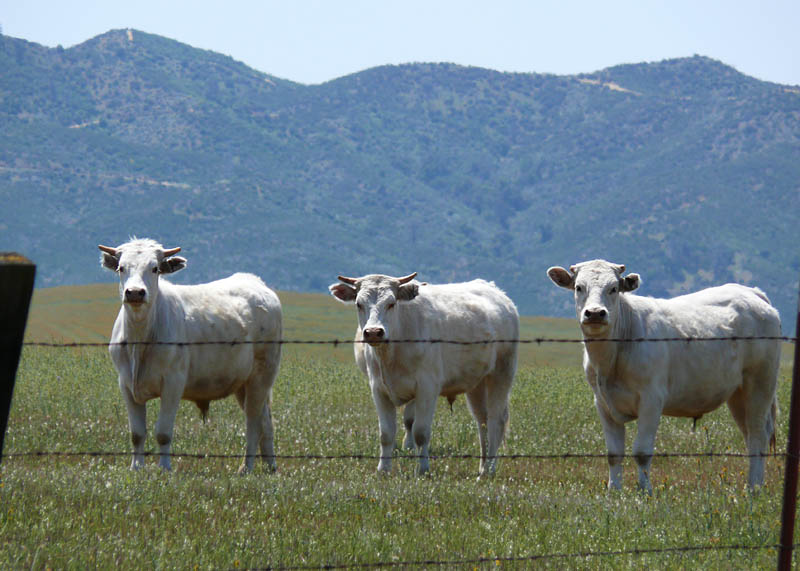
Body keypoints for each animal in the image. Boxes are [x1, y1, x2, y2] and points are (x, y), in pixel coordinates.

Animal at [99, 238, 282, 474]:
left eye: (155, 268)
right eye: (121, 268)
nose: (135, 292)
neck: (140, 341)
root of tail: (256, 282)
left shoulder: (173, 383)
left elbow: (163, 432)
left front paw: (164, 469)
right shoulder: (126, 384)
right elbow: (137, 434)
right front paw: (136, 468)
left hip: (262, 375)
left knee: (253, 422)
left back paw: (246, 468)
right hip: (243, 383)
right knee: (265, 422)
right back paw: (270, 468)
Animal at [330, 274, 520, 476]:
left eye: (391, 303)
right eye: (359, 304)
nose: (374, 332)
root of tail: (500, 295)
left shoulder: (427, 388)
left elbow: (420, 432)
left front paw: (422, 469)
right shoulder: (379, 389)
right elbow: (386, 434)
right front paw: (383, 470)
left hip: (501, 373)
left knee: (496, 421)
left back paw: (488, 470)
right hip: (477, 383)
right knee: (482, 422)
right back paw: (482, 467)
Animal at [548, 260, 780, 492]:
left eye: (613, 288)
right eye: (579, 287)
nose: (595, 313)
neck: (610, 360)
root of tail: (752, 293)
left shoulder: (652, 399)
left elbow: (642, 452)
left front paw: (645, 491)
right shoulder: (603, 403)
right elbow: (614, 454)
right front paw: (614, 490)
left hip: (760, 384)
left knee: (758, 435)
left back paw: (754, 488)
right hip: (737, 394)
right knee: (750, 436)